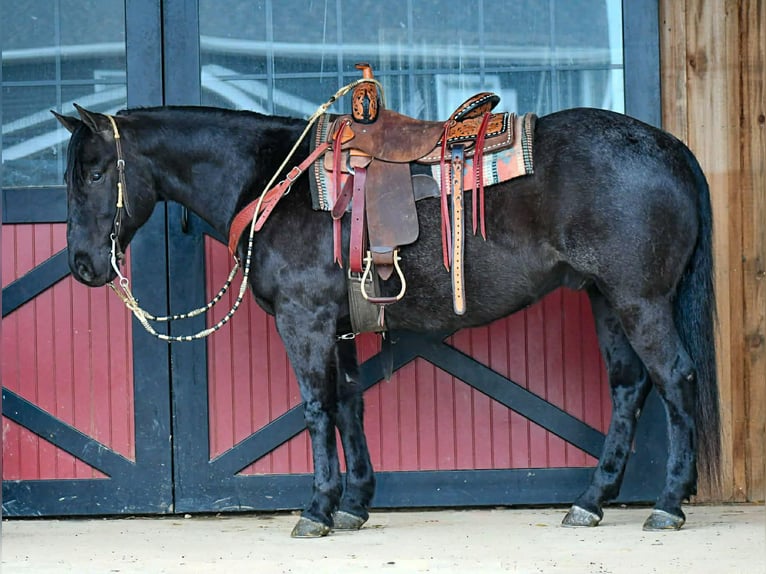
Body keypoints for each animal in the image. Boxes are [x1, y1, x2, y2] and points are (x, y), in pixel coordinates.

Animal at [53, 99, 720, 538]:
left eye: (94, 172)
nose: (83, 265)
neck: (274, 179)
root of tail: (670, 148)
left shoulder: (304, 319)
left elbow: (317, 406)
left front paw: (317, 508)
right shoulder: (339, 324)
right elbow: (349, 401)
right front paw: (354, 503)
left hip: (639, 299)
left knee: (675, 378)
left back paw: (667, 503)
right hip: (605, 298)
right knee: (629, 387)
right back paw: (591, 500)